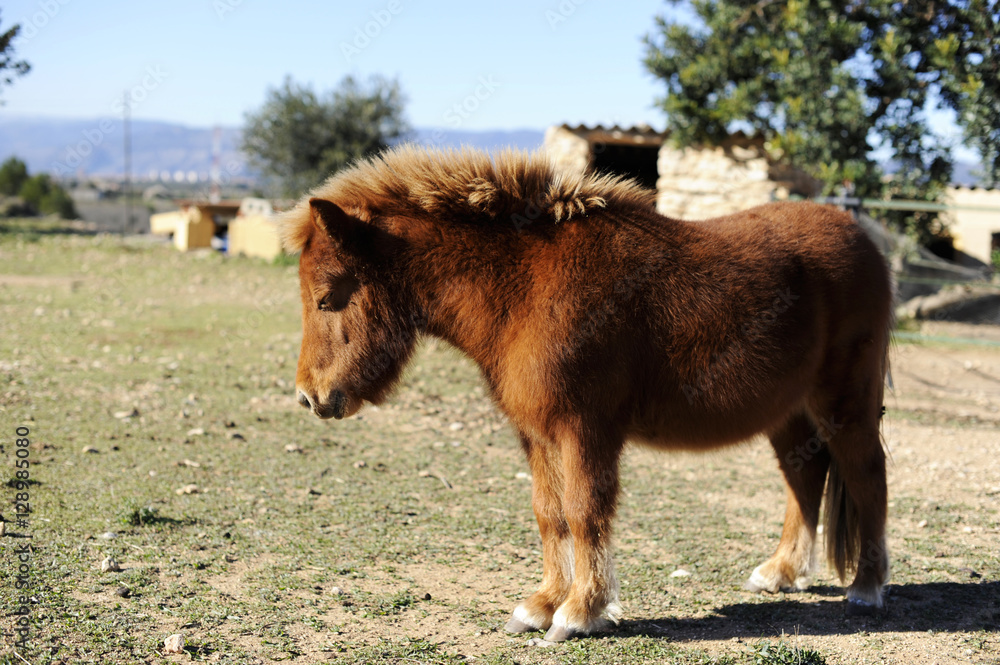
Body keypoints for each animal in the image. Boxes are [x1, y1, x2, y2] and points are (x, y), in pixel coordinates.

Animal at [281, 145, 893, 642]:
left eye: (328, 297)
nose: (310, 397)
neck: (524, 286)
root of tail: (864, 238)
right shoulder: (535, 433)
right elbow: (549, 513)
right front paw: (539, 605)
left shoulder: (584, 430)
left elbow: (583, 512)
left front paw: (579, 613)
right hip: (789, 414)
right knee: (804, 478)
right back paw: (780, 573)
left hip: (844, 406)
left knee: (867, 476)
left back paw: (867, 588)